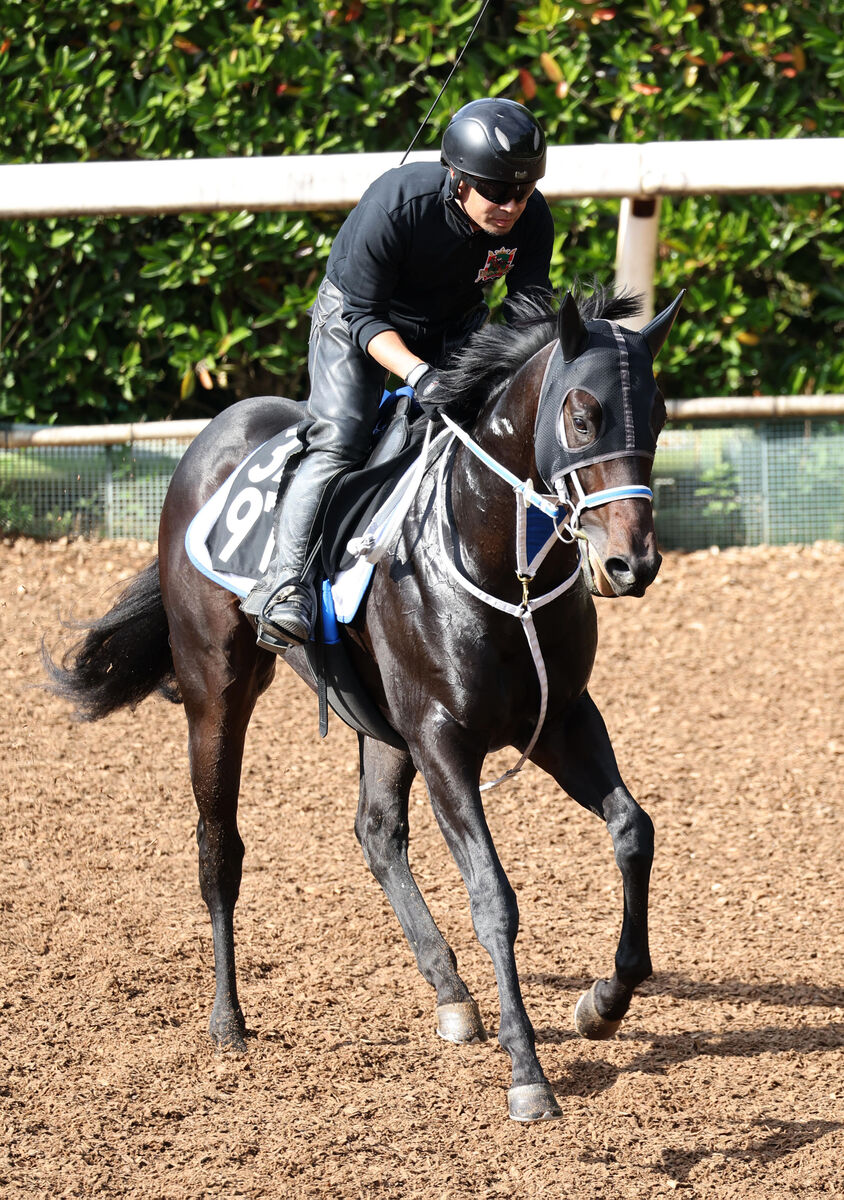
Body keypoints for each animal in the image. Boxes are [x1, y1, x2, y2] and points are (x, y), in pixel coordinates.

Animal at [42, 285, 681, 1118]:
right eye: (581, 416)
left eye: (659, 415)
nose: (631, 563)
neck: (497, 561)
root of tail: (214, 434)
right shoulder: (443, 739)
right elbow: (492, 895)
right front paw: (528, 1073)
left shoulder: (560, 718)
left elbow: (633, 831)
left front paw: (603, 1001)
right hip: (218, 693)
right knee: (220, 846)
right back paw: (228, 1020)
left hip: (377, 720)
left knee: (375, 832)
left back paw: (451, 993)